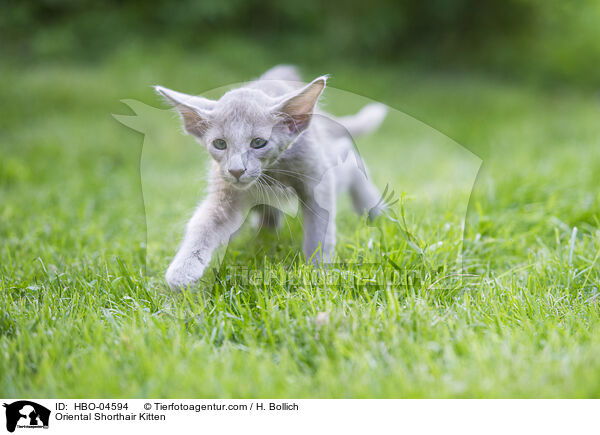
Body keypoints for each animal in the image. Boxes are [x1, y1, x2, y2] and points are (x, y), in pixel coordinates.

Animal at [157, 64, 386, 290]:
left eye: (258, 143)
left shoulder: (317, 181)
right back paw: (265, 232)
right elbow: (204, 223)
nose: (237, 170)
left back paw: (375, 210)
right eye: (220, 144)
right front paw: (182, 269)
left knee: (349, 158)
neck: (272, 171)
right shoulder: (226, 193)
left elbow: (319, 228)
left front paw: (318, 269)